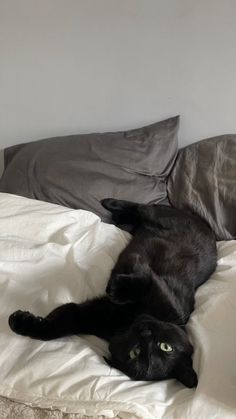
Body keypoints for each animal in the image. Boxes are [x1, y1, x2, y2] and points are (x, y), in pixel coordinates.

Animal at [8, 199, 217, 388]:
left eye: (135, 352)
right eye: (166, 346)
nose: (146, 332)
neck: (127, 320)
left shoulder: (87, 316)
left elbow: (58, 325)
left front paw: (23, 323)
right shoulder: (159, 287)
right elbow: (143, 278)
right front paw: (116, 288)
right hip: (157, 216)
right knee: (142, 207)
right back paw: (110, 204)